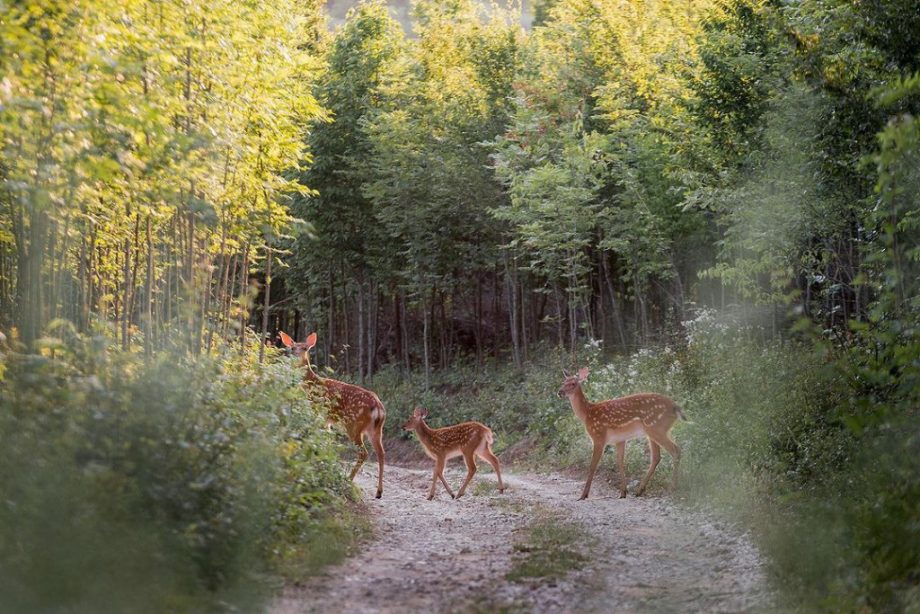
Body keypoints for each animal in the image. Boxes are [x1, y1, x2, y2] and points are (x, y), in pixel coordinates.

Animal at [276, 332, 384, 500]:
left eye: (305, 348)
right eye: (293, 347)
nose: (294, 353)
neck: (310, 384)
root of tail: (378, 407)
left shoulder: (316, 411)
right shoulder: (327, 421)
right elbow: (324, 441)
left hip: (353, 425)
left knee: (364, 452)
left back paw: (348, 480)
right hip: (376, 430)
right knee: (381, 454)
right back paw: (378, 492)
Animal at [556, 368, 688, 502]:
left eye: (573, 383)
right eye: (563, 381)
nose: (560, 392)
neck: (587, 414)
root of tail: (675, 407)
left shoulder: (598, 436)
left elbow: (593, 465)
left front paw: (583, 495)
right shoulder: (620, 439)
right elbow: (620, 461)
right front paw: (623, 492)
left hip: (656, 427)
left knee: (675, 450)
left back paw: (672, 487)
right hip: (653, 431)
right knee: (657, 456)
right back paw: (640, 490)